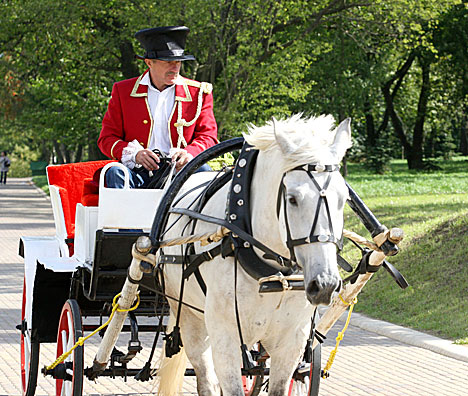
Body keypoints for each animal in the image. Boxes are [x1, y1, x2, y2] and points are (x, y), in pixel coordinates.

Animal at [157, 114, 352, 396]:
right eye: (292, 199)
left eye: (344, 199)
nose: (325, 283)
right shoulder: (225, 337)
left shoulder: (292, 341)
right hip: (189, 317)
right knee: (206, 378)